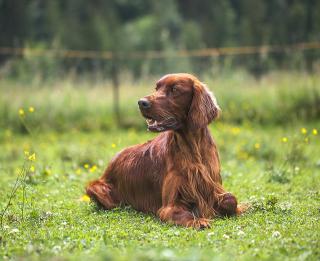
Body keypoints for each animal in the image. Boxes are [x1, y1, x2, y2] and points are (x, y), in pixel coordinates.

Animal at [86, 73, 244, 228]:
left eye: (174, 90)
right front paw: (199, 220)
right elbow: (182, 212)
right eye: (156, 88)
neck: (193, 148)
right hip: (96, 189)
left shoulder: (213, 186)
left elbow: (231, 199)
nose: (141, 102)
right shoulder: (169, 207)